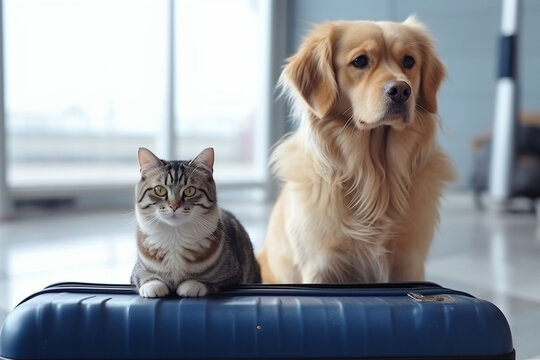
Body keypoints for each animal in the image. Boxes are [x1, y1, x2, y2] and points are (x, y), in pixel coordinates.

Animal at [131, 146, 262, 298]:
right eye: (160, 190)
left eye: (189, 191)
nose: (174, 206)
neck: (175, 234)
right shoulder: (136, 272)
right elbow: (145, 277)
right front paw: (152, 286)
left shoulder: (233, 275)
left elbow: (210, 282)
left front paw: (191, 286)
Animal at [258, 17, 456, 284]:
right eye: (360, 61)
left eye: (409, 61)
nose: (401, 90)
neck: (376, 177)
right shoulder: (320, 266)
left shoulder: (409, 263)